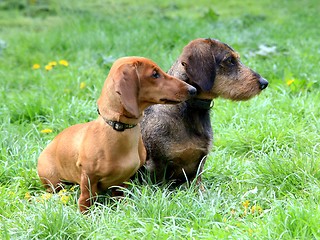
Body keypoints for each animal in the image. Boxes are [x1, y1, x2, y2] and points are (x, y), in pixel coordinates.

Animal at [37, 56, 198, 212]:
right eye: (155, 74)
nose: (193, 89)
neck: (120, 129)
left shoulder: (122, 181)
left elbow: (120, 197)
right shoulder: (88, 177)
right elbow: (85, 200)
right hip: (54, 183)